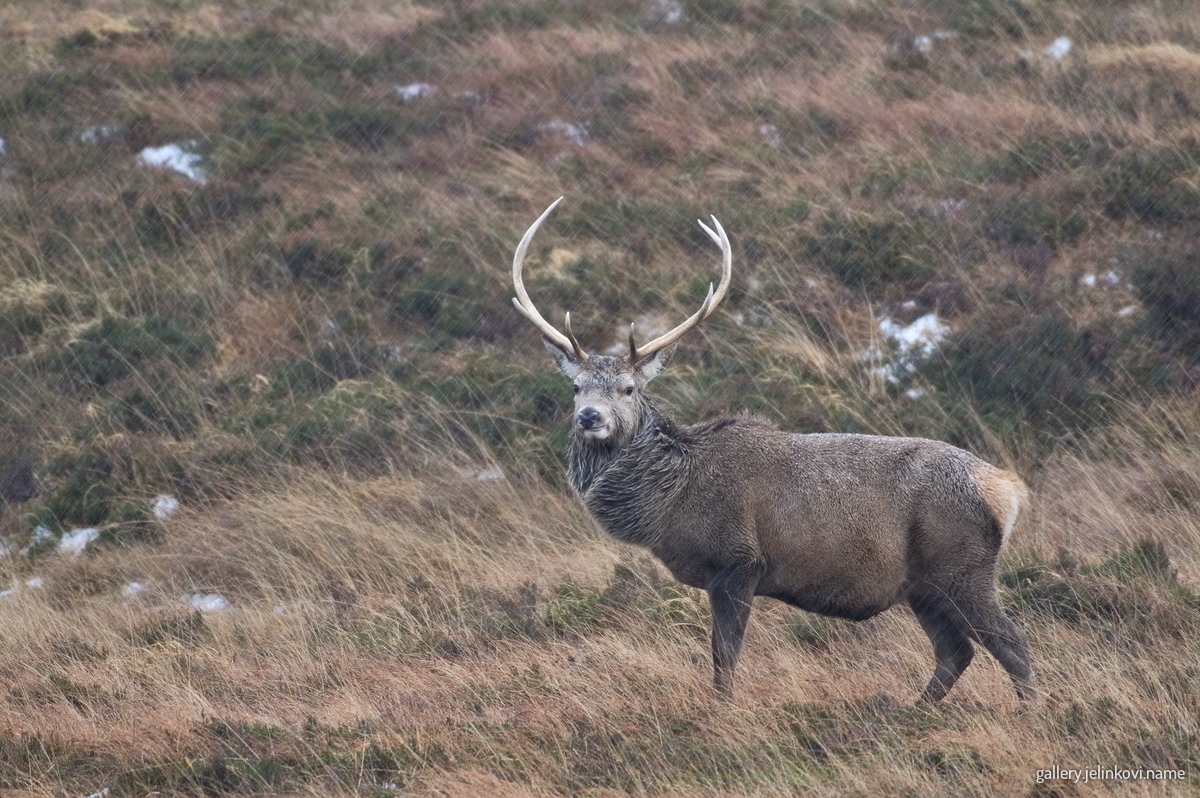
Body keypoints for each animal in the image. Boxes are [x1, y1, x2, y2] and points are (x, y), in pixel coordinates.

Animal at [510, 198, 1035, 704]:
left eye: (627, 389)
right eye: (576, 387)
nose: (589, 417)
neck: (672, 500)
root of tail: (1005, 490)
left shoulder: (739, 560)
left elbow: (725, 656)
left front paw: (722, 711)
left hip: (962, 564)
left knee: (1011, 641)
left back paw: (1028, 709)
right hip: (924, 586)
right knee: (956, 649)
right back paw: (911, 712)